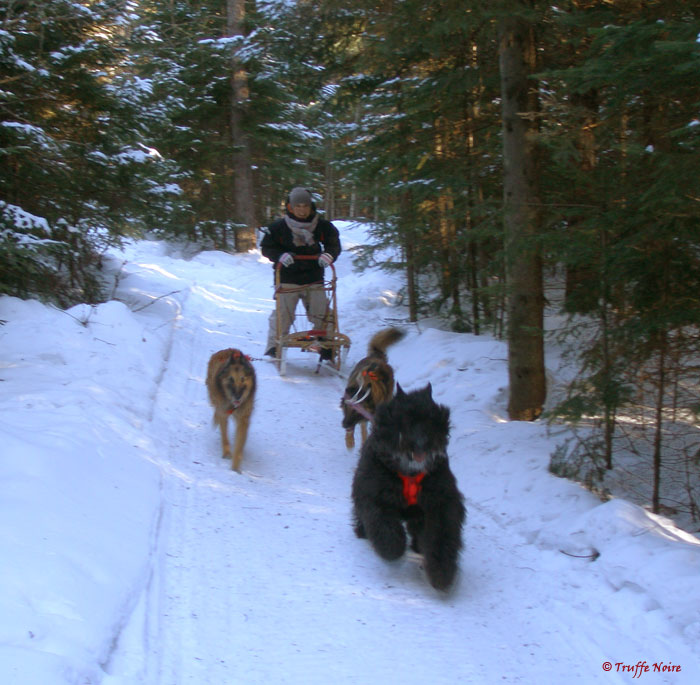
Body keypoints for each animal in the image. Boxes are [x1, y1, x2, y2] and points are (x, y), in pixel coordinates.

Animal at [350, 382, 464, 592]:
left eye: (430, 419)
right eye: (407, 419)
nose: (422, 442)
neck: (409, 472)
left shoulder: (440, 503)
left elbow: (442, 536)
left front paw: (441, 573)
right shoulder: (376, 497)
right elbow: (384, 526)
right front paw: (393, 548)